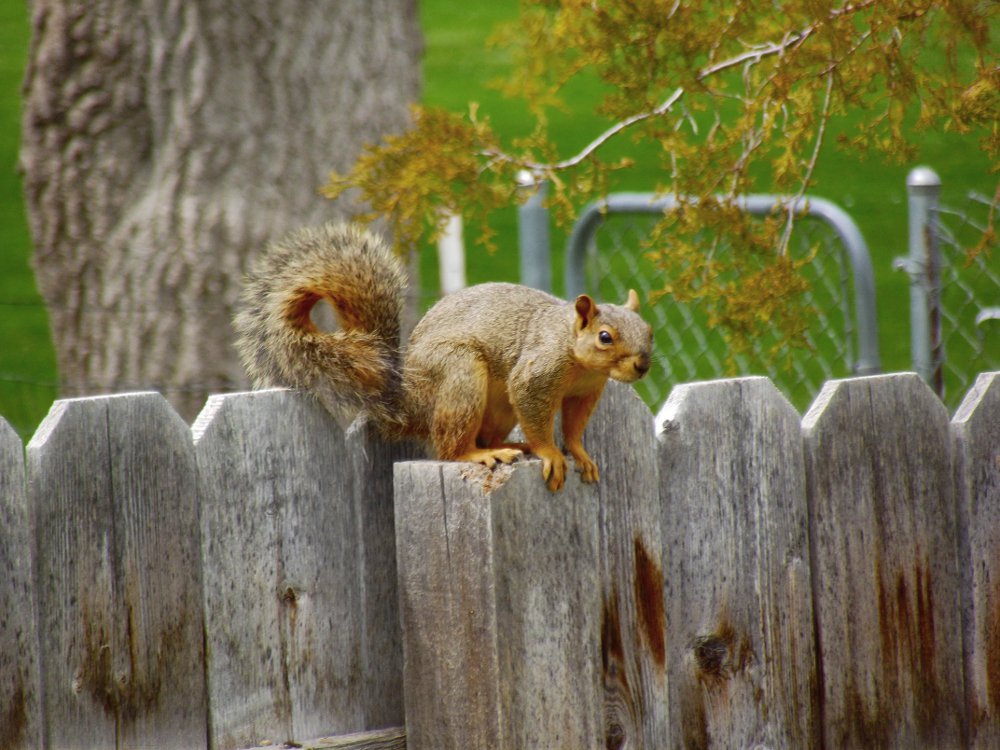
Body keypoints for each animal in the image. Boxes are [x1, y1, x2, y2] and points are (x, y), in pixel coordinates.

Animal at [235, 223, 656, 494]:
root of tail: (408, 401)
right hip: (460, 374)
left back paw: (510, 448)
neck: (578, 360)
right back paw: (479, 453)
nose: (642, 365)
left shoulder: (586, 392)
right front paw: (551, 453)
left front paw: (580, 454)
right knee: (449, 448)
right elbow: (538, 417)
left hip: (496, 407)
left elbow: (574, 426)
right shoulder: (537, 373)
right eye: (605, 337)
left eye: (650, 331)